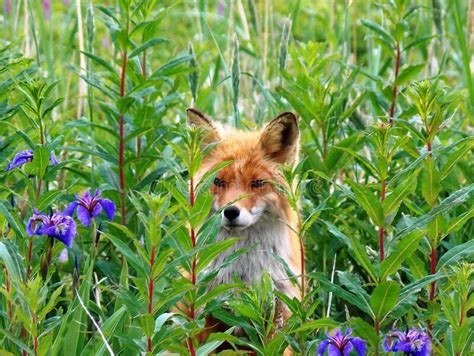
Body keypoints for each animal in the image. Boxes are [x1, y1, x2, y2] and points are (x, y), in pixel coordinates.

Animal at [186, 108, 302, 350]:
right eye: (218, 182)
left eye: (257, 183)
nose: (231, 212)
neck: (244, 272)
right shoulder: (207, 312)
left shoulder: (278, 311)